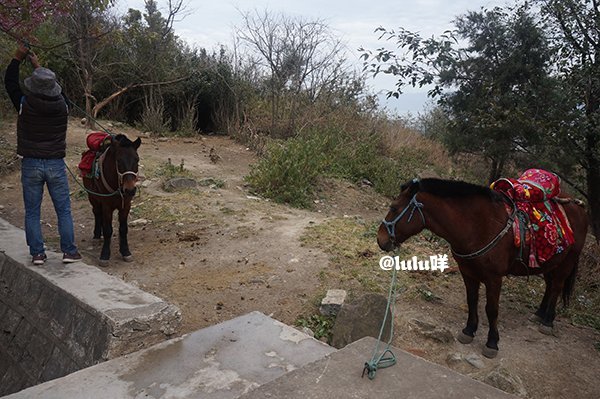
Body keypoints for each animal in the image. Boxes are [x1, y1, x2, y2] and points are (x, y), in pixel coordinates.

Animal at [79, 133, 141, 268]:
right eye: (119, 161)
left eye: (137, 160)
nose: (130, 190)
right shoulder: (107, 205)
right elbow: (108, 230)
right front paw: (105, 255)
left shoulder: (126, 205)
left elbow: (123, 229)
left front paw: (125, 252)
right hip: (93, 197)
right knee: (97, 213)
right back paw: (97, 236)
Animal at [378, 170, 588, 358]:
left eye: (394, 208)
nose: (380, 239)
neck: (479, 226)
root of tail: (578, 206)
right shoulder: (467, 272)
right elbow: (472, 300)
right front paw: (469, 330)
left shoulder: (494, 278)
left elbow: (491, 309)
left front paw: (492, 342)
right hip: (550, 261)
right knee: (550, 286)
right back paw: (539, 313)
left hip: (567, 261)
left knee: (557, 286)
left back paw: (547, 321)